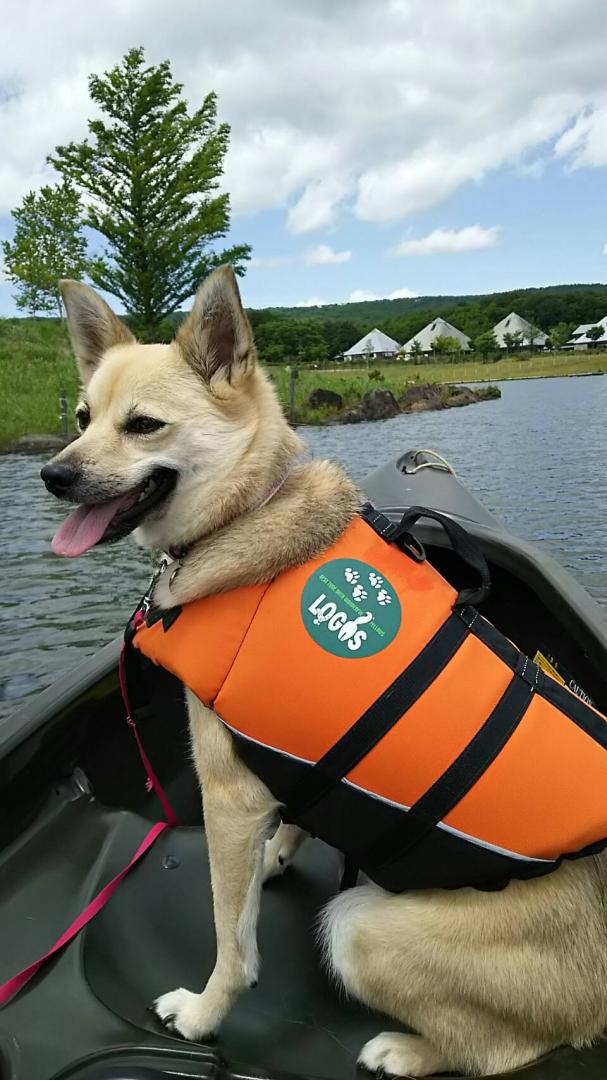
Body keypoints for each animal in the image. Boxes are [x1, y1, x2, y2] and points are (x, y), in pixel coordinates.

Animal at [42, 265, 604, 1075]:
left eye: (142, 425)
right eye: (83, 416)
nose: (51, 475)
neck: (248, 512)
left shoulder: (225, 795)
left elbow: (232, 943)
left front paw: (204, 1014)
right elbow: (297, 814)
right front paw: (279, 852)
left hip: (359, 926)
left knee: (509, 1049)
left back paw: (405, 1051)